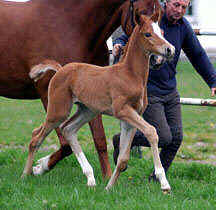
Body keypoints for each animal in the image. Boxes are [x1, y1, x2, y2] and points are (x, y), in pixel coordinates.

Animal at [0, 0, 160, 177]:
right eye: (140, 13)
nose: (157, 59)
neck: (73, 26)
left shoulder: (95, 97)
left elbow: (99, 138)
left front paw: (107, 176)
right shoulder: (47, 93)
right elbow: (65, 144)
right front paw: (40, 166)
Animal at [22, 11, 174, 192]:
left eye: (162, 32)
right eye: (148, 34)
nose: (170, 49)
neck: (130, 75)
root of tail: (60, 70)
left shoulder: (130, 118)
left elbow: (123, 159)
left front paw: (109, 187)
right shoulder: (122, 111)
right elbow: (151, 131)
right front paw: (164, 183)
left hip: (87, 111)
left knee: (68, 129)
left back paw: (90, 178)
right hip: (58, 111)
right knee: (36, 137)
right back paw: (26, 175)